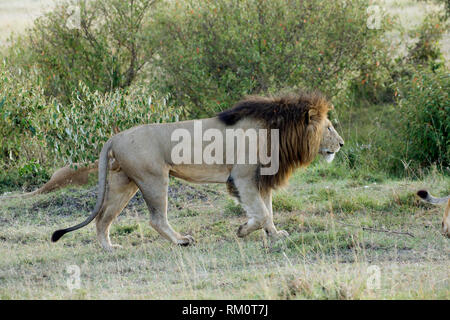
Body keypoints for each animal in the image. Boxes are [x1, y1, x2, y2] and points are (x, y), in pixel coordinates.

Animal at [51, 91, 344, 251]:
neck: (279, 130)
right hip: (153, 178)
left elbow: (268, 212)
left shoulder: (262, 178)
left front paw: (275, 235)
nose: (341, 144)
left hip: (124, 182)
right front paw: (242, 230)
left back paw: (109, 248)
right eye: (329, 127)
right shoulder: (243, 177)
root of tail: (114, 137)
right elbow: (260, 213)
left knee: (103, 219)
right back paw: (182, 241)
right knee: (156, 219)